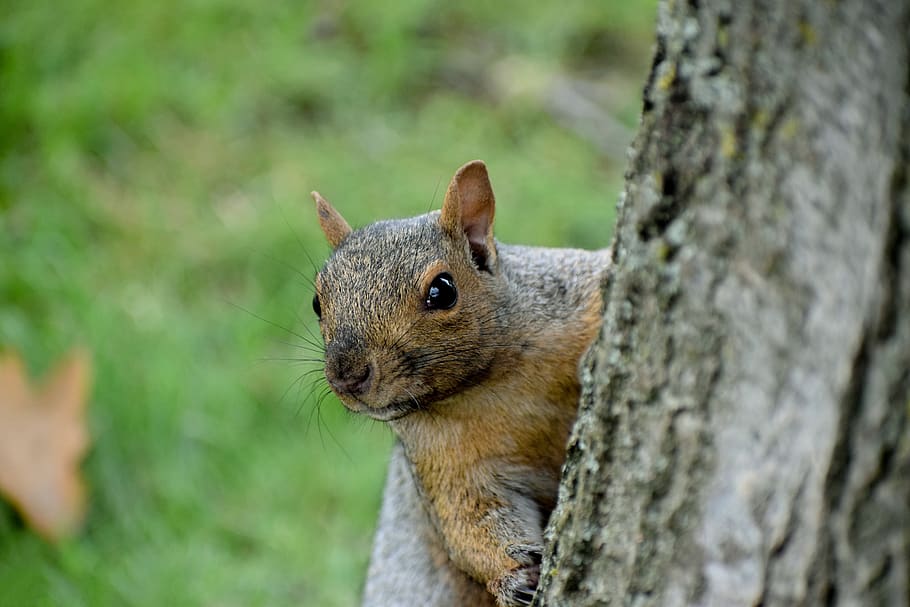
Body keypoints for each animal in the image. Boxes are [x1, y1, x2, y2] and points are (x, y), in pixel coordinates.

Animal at [310, 160, 609, 607]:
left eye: (442, 290)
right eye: (317, 302)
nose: (347, 375)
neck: (489, 385)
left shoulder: (563, 299)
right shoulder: (445, 461)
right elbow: (471, 518)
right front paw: (515, 576)